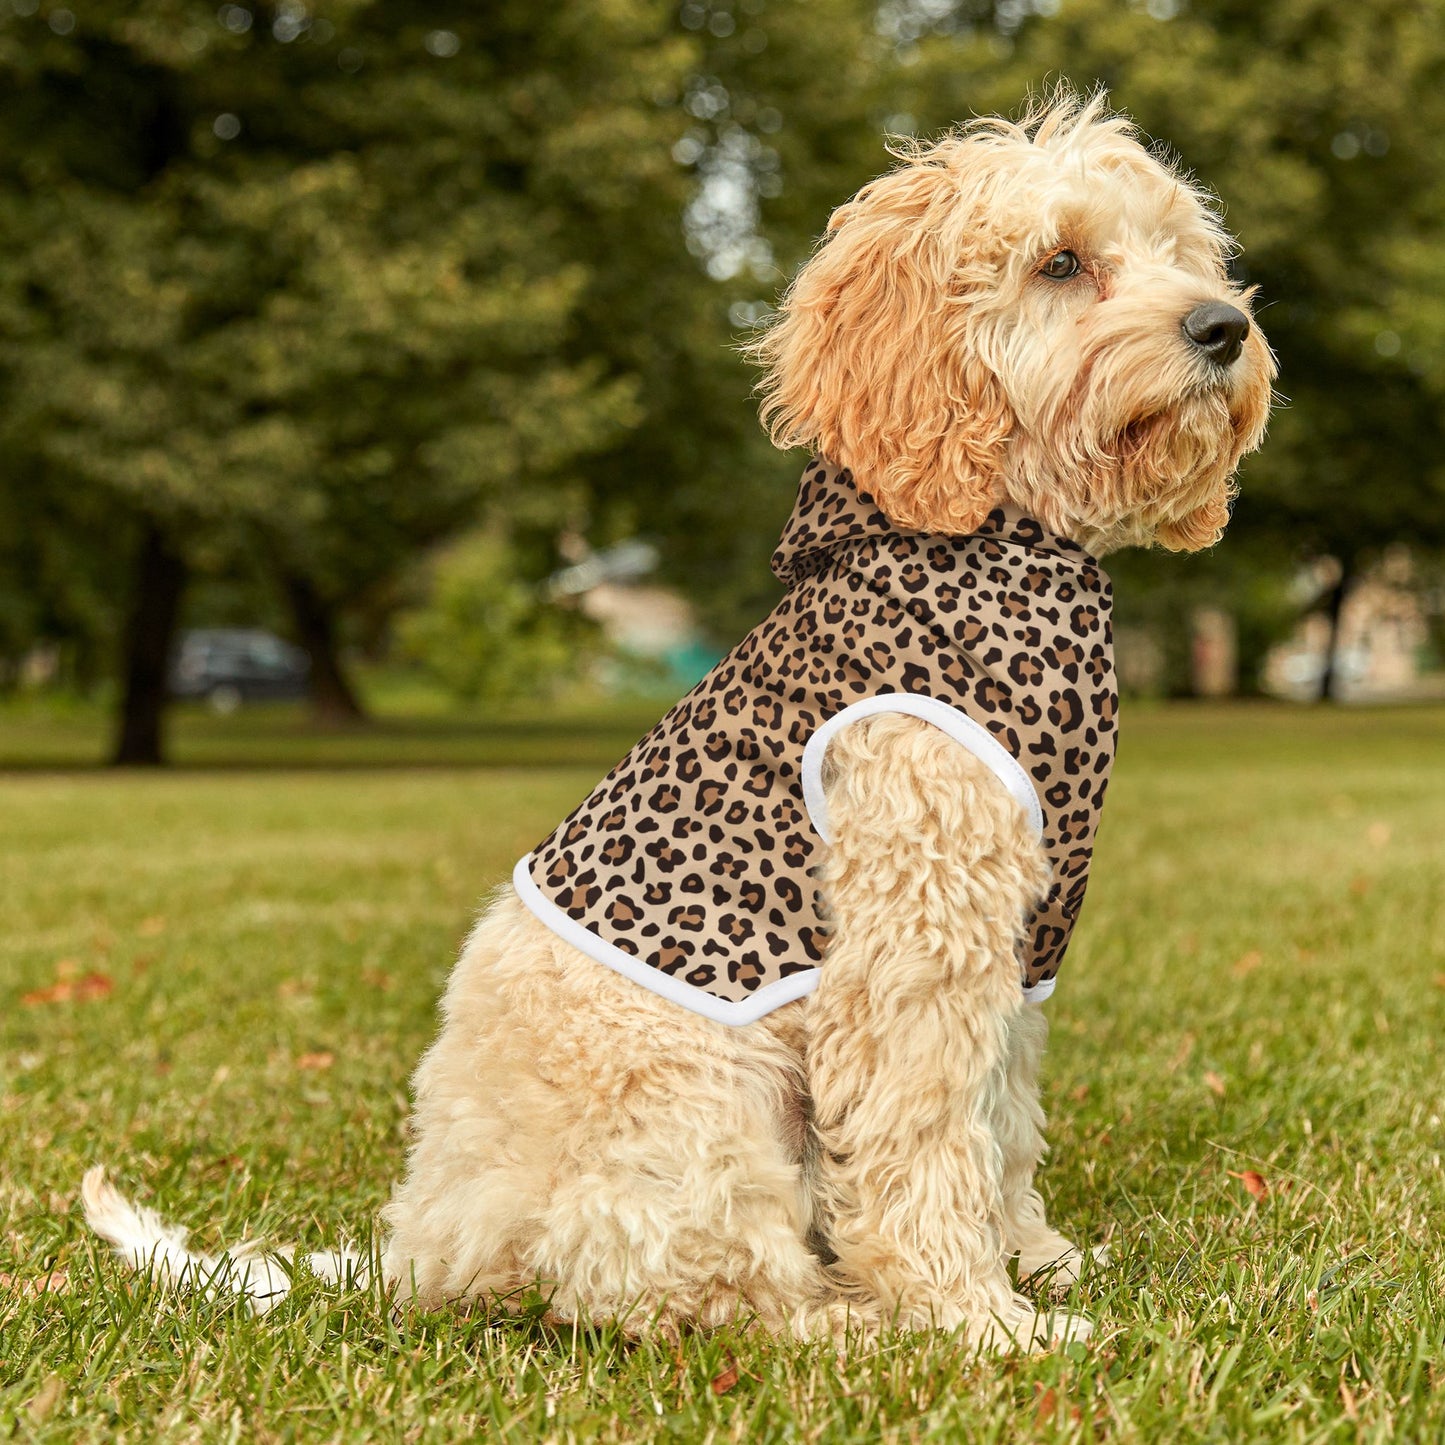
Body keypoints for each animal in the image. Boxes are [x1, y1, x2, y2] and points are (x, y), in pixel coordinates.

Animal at [84, 93, 1271, 1352]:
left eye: (1179, 252)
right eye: (1060, 262)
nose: (1222, 327)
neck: (997, 545)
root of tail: (423, 1246)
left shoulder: (1015, 945)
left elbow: (999, 1120)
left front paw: (1034, 1260)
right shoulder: (912, 941)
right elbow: (924, 1138)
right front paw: (976, 1318)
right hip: (702, 1104)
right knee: (697, 1290)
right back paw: (851, 1322)